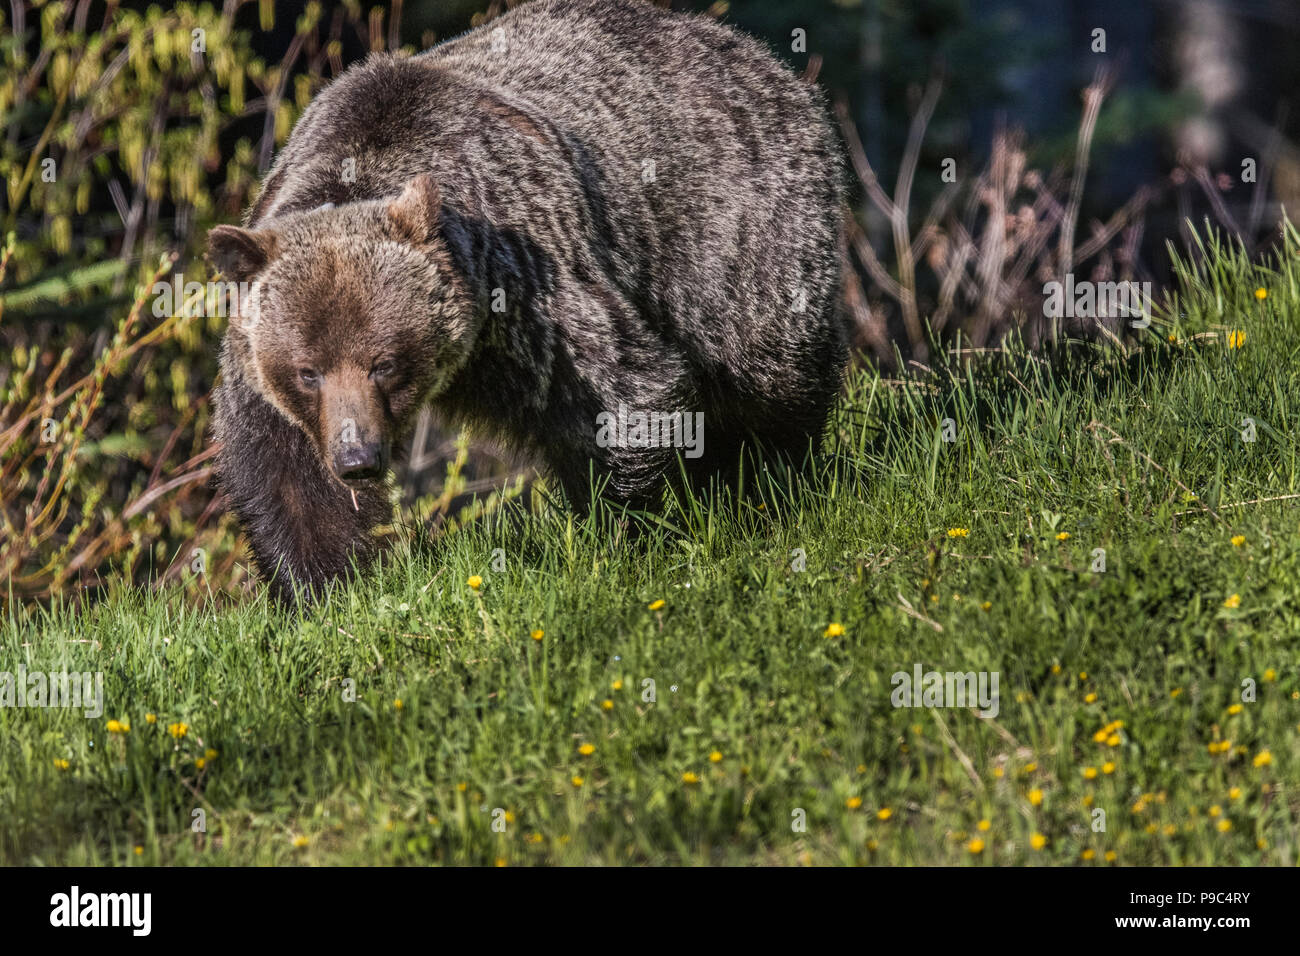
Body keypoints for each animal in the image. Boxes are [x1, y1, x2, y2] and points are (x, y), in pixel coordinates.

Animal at [205, 0, 842, 598]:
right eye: (307, 371)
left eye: (385, 363)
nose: (357, 458)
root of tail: (758, 55)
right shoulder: (263, 366)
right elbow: (289, 480)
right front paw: (328, 585)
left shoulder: (529, 286)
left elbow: (622, 393)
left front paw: (624, 531)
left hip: (736, 228)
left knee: (769, 373)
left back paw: (764, 481)